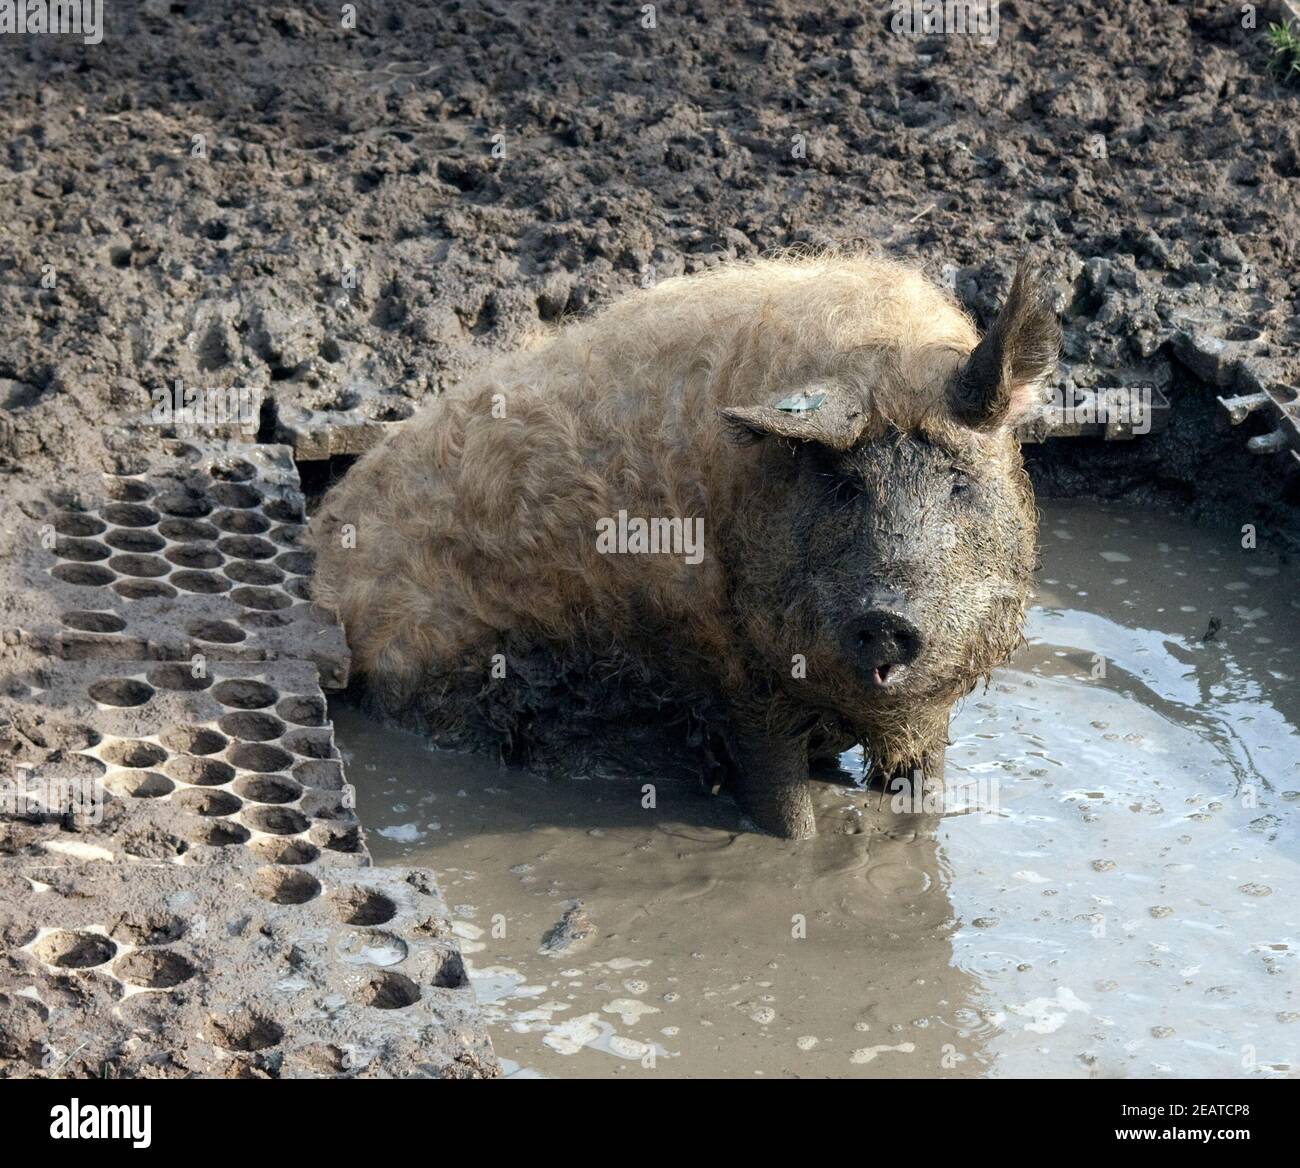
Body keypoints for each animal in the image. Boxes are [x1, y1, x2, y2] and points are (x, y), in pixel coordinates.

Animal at [309, 252, 1060, 837]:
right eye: (843, 485)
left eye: (959, 483)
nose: (886, 618)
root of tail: (326, 565)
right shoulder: (734, 681)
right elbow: (785, 811)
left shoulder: (926, 710)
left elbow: (923, 800)